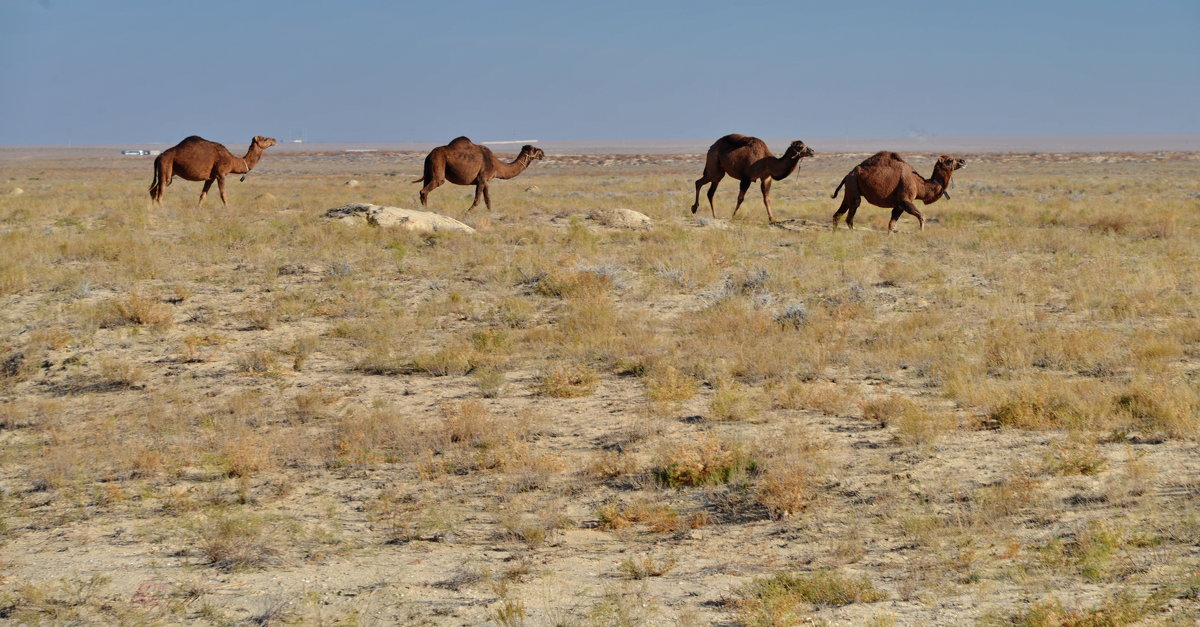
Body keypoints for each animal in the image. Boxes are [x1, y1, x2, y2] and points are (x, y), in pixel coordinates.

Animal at [147, 133, 276, 207]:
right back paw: (161, 208)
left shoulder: (211, 177)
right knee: (161, 190)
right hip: (166, 167)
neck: (233, 160)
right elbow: (223, 194)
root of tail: (158, 156)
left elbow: (203, 195)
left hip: (166, 170)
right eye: (265, 139)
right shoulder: (221, 174)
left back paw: (153, 208)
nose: (274, 140)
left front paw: (198, 209)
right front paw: (228, 210)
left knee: (154, 190)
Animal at [412, 135, 544, 210]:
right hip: (438, 163)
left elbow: (488, 200)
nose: (542, 153)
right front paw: (465, 214)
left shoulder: (486, 181)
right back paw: (426, 211)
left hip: (428, 170)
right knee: (426, 189)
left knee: (424, 189)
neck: (496, 165)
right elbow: (477, 200)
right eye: (535, 149)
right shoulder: (481, 179)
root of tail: (429, 155)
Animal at [835, 150, 964, 231]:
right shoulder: (905, 199)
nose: (963, 161)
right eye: (950, 160)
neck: (919, 183)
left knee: (838, 214)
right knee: (850, 215)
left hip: (849, 189)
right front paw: (922, 234)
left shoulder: (899, 205)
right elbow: (922, 216)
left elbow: (891, 224)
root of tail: (848, 174)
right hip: (853, 185)